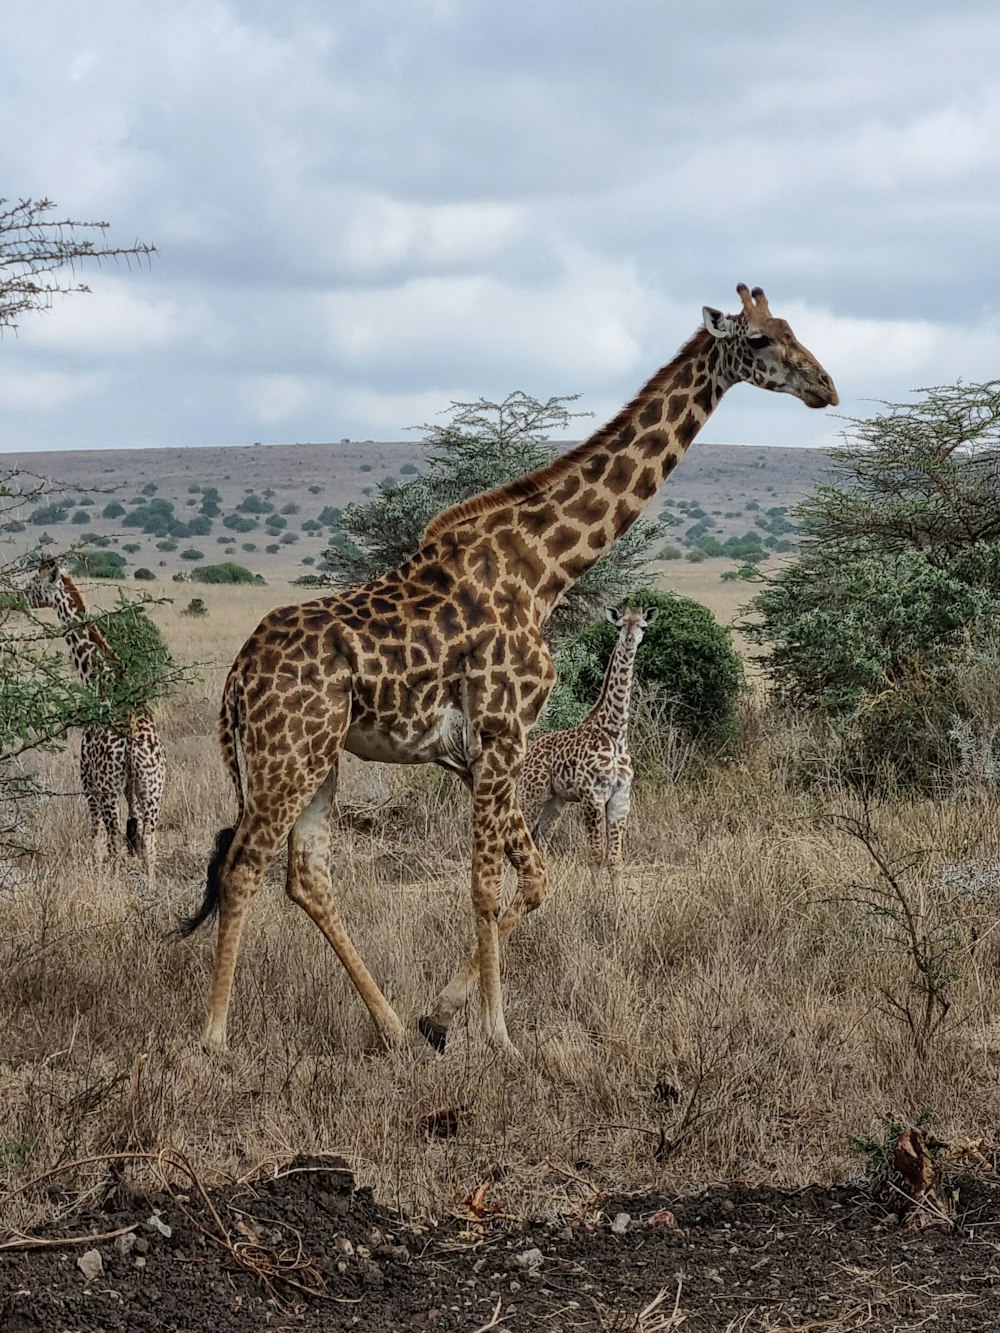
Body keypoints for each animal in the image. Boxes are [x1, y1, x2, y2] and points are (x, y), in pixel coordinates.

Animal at [24, 559, 166, 879]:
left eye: (33, 585)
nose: (19, 596)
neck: (101, 681)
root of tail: (134, 744)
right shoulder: (131, 791)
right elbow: (134, 840)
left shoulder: (89, 780)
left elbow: (97, 838)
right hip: (153, 790)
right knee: (149, 842)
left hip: (109, 789)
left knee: (112, 839)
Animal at [517, 607, 658, 885]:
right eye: (619, 625)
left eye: (643, 626)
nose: (629, 641)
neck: (615, 734)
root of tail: (530, 752)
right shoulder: (592, 796)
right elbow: (594, 856)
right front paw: (595, 898)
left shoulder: (620, 798)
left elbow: (614, 860)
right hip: (532, 793)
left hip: (556, 801)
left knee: (541, 842)